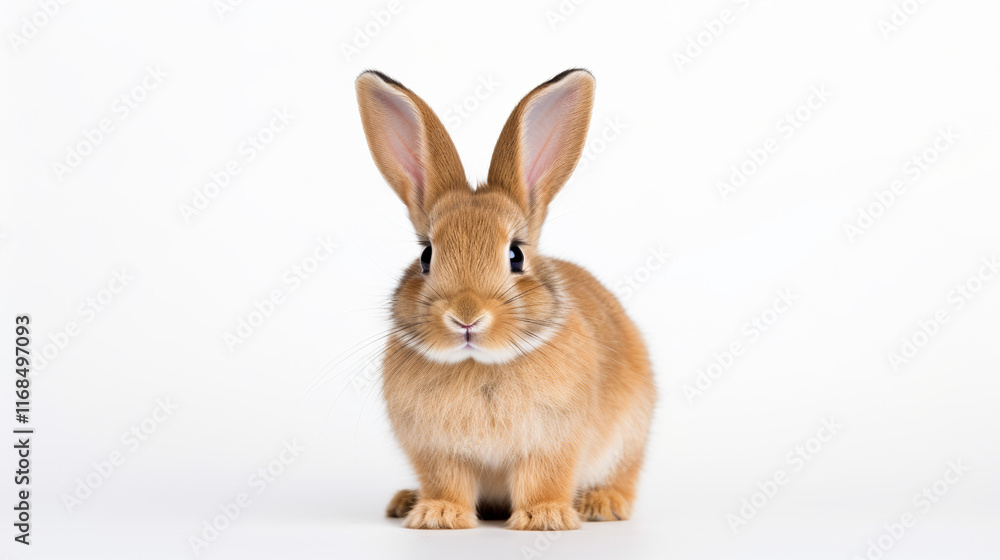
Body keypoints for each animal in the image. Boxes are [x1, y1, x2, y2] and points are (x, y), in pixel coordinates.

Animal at [355, 68, 657, 531]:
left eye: (515, 255)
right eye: (426, 256)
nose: (466, 316)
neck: (478, 365)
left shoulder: (552, 443)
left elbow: (543, 479)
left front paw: (544, 517)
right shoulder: (437, 452)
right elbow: (446, 482)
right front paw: (439, 515)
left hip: (631, 434)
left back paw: (602, 504)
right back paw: (405, 501)